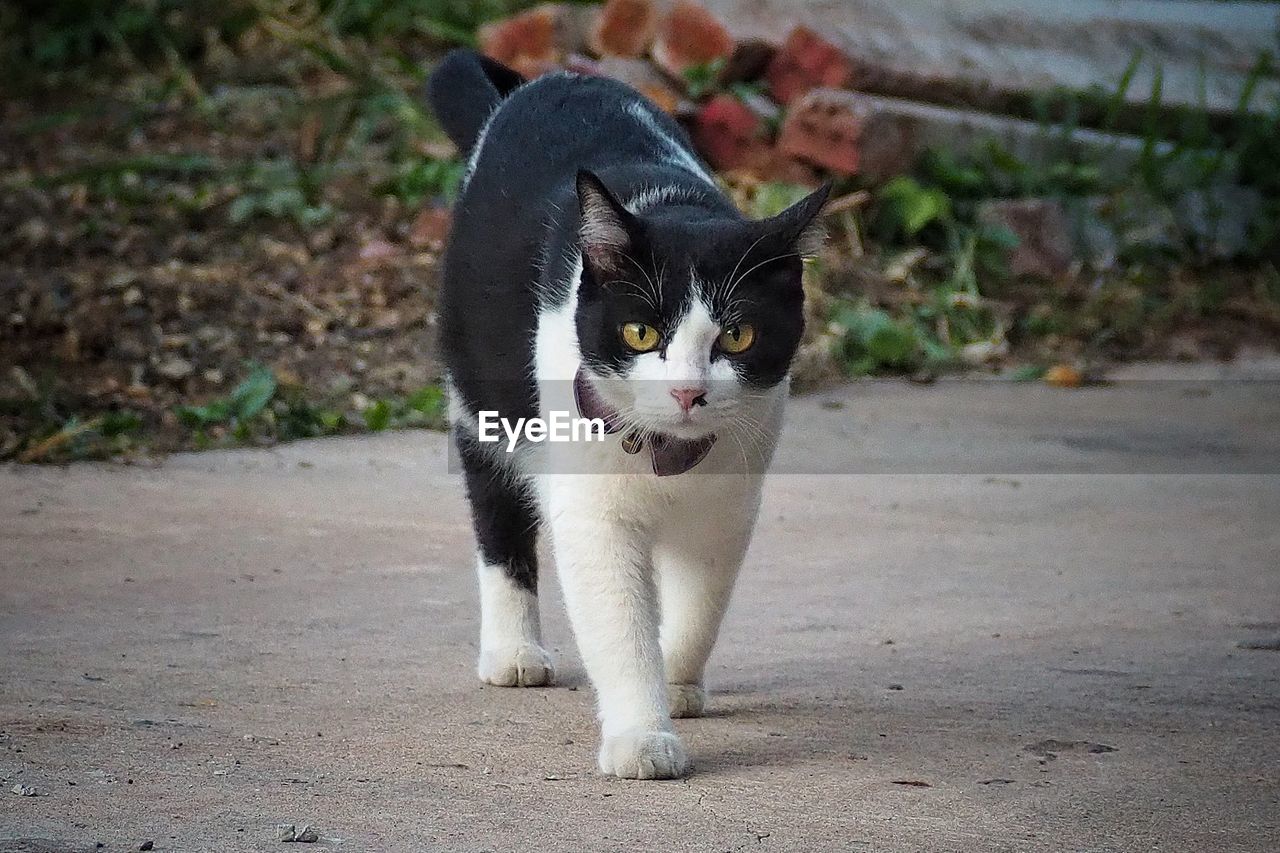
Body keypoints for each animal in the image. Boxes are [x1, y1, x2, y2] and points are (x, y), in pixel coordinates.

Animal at [427, 46, 829, 778]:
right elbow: (618, 622)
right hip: (482, 387)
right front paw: (643, 735)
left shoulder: (730, 500)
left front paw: (678, 679)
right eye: (641, 333)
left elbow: (701, 604)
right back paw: (513, 651)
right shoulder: (593, 512)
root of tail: (542, 84)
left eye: (737, 337)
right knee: (495, 503)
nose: (688, 391)